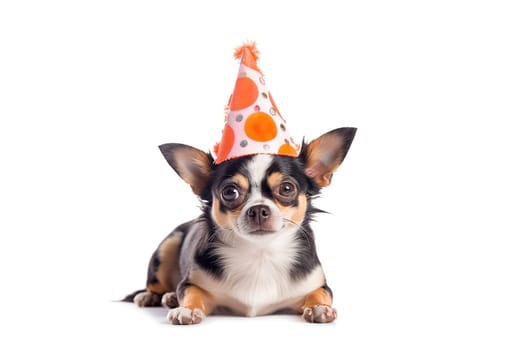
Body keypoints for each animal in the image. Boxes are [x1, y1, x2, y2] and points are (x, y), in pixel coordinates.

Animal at [124, 127, 356, 324]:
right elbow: (190, 293)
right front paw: (187, 309)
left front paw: (318, 308)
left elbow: (320, 294)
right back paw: (155, 296)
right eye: (230, 192)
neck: (260, 254)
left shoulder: (318, 286)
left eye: (287, 188)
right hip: (167, 246)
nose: (259, 209)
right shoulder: (192, 283)